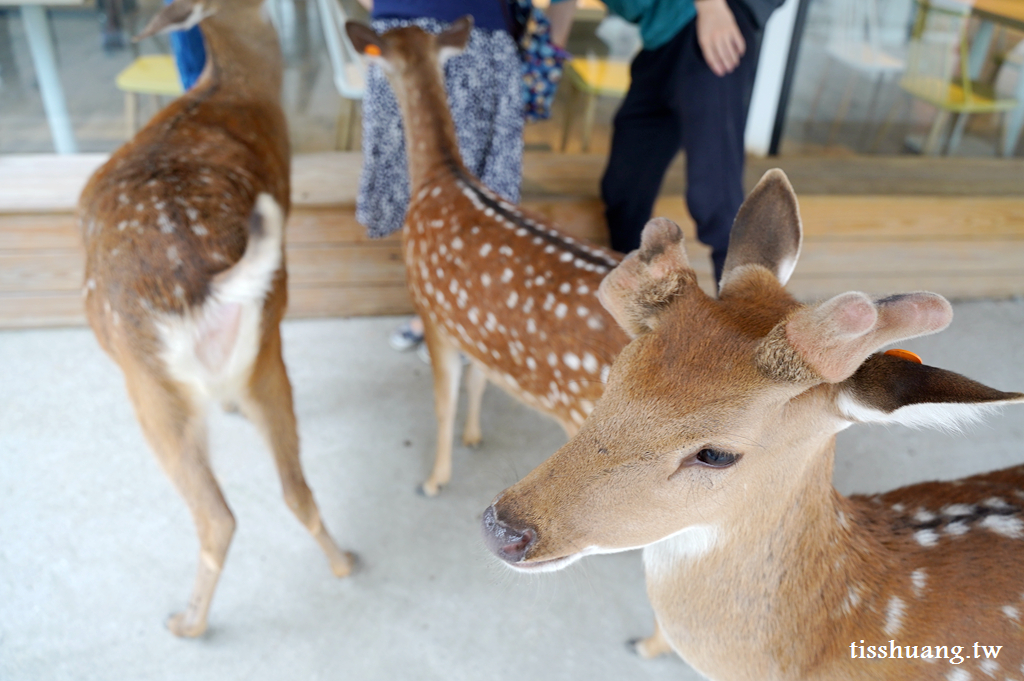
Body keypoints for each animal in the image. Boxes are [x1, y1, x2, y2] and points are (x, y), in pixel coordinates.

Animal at [78, 0, 356, 634]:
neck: (228, 87)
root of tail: (204, 289)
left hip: (152, 389)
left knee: (218, 517)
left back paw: (186, 623)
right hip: (263, 350)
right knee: (295, 490)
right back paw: (345, 563)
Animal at [346, 15, 630, 493]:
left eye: (380, 58)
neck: (439, 178)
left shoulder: (432, 312)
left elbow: (444, 400)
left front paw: (435, 479)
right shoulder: (477, 330)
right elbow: (479, 380)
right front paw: (474, 437)